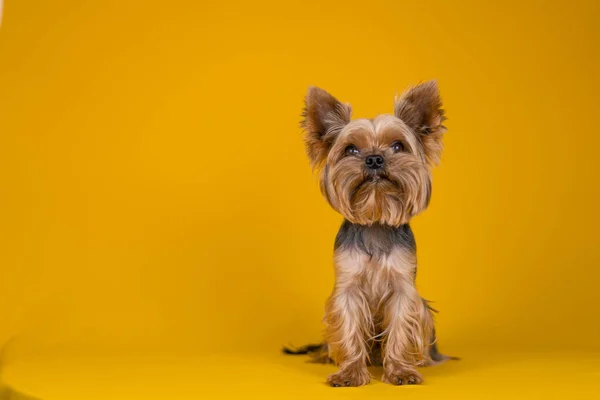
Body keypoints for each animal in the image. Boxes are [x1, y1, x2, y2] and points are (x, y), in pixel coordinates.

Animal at [286, 80, 454, 384]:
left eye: (398, 146)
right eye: (351, 149)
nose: (375, 159)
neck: (376, 218)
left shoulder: (402, 288)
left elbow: (400, 328)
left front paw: (400, 371)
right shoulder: (348, 288)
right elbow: (349, 328)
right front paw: (349, 373)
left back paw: (421, 360)